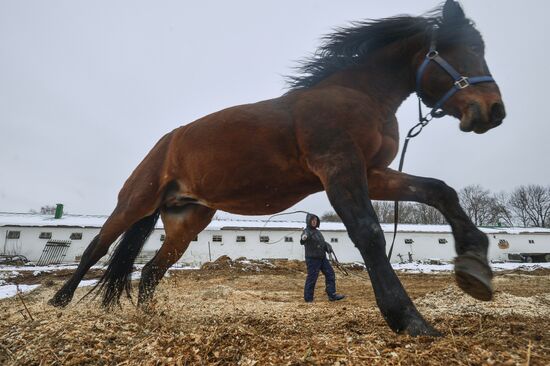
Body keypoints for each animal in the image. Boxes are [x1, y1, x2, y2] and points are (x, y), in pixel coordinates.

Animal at [49, 0, 506, 338]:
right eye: (461, 49)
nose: (494, 111)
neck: (358, 95)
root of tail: (165, 143)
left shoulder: (373, 174)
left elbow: (439, 190)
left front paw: (474, 266)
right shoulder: (339, 169)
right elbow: (370, 235)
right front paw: (408, 319)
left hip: (186, 220)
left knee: (150, 269)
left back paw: (151, 319)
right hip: (135, 203)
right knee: (95, 249)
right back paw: (58, 304)